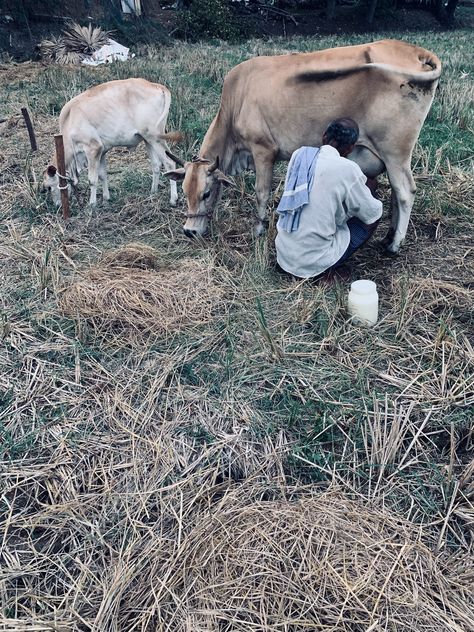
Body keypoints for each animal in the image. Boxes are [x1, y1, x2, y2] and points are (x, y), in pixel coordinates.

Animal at [43, 78, 181, 207]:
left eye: (49, 187)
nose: (57, 205)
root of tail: (156, 85)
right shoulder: (102, 151)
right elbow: (102, 175)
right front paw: (106, 199)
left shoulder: (93, 148)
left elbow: (92, 179)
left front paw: (92, 205)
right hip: (148, 139)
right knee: (156, 165)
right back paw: (153, 192)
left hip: (155, 137)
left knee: (169, 163)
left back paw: (173, 199)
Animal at [166, 37, 440, 252]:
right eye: (185, 192)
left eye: (206, 193)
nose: (189, 230)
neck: (236, 101)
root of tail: (413, 50)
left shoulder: (263, 150)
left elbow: (261, 192)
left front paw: (258, 229)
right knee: (396, 192)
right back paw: (388, 237)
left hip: (396, 154)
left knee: (405, 192)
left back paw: (394, 244)